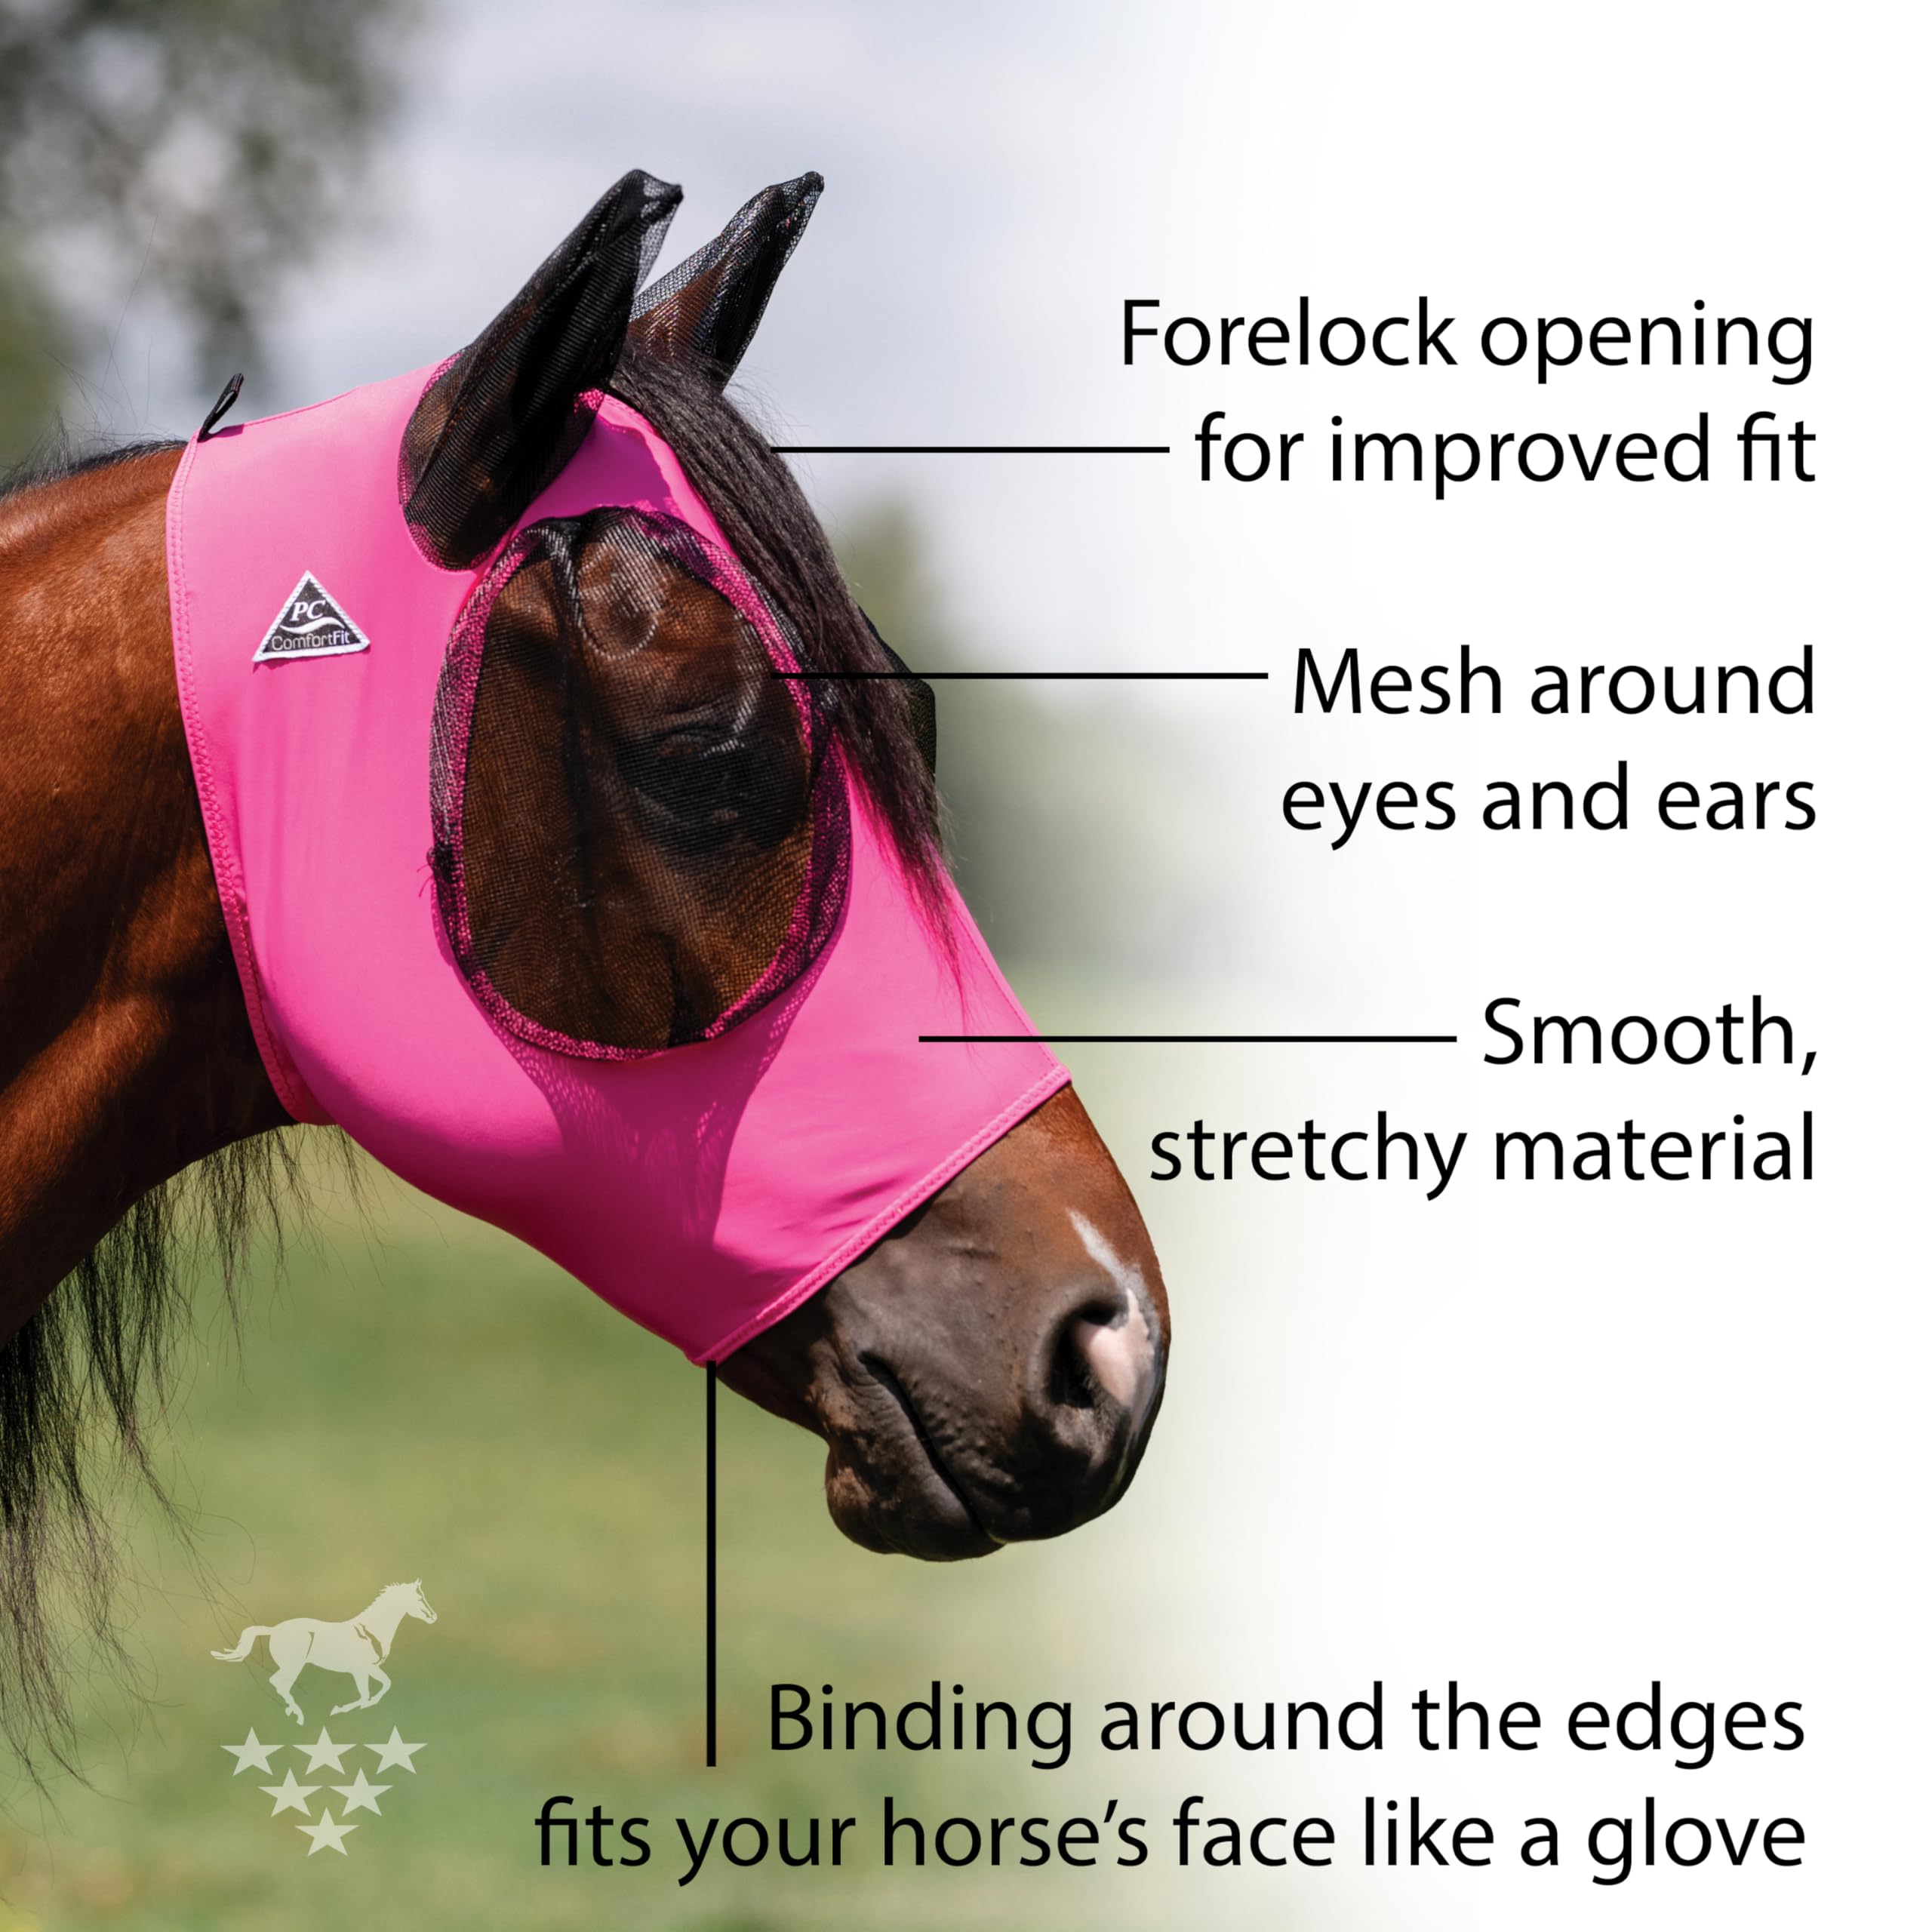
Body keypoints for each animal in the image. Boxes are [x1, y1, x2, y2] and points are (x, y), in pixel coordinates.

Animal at [211, 1581, 437, 1725]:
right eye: (419, 1599)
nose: (433, 1617)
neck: (373, 1629)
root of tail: (274, 1630)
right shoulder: (360, 1670)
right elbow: (366, 1694)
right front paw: (341, 1709)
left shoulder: (369, 1669)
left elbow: (383, 1686)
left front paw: (361, 1705)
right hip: (294, 1665)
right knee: (278, 1683)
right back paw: (298, 1714)